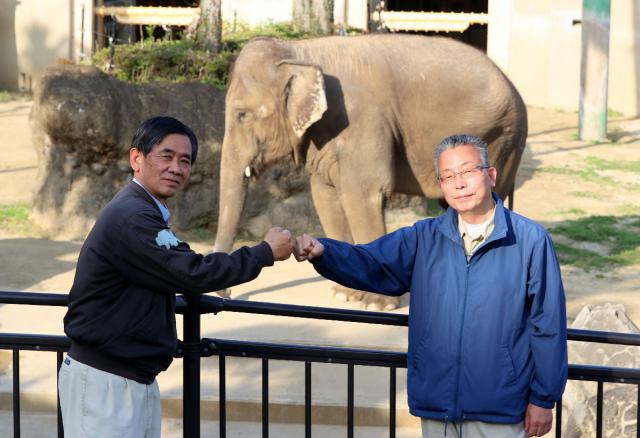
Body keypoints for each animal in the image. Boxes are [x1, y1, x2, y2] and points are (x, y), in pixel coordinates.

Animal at [212, 34, 528, 310]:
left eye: (241, 114)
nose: (227, 294)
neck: (300, 52)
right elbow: (324, 195)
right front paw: (345, 295)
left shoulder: (364, 119)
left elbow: (362, 195)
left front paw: (377, 304)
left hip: (503, 139)